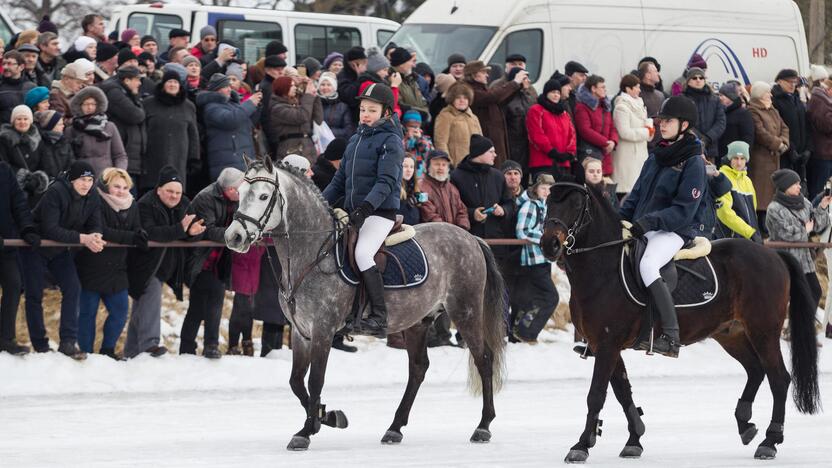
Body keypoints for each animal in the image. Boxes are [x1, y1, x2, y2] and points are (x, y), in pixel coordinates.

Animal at [223, 159, 508, 452]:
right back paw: (394, 428)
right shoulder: (302, 333)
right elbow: (296, 381)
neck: (313, 254)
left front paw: (307, 430)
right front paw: (327, 416)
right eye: (240, 193)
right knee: (418, 368)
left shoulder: (323, 331)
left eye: (263, 196)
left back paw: (483, 426)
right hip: (418, 321)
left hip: (466, 311)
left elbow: (315, 380)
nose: (233, 237)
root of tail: (471, 238)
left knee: (484, 360)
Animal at [540, 182, 820, 460]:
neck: (603, 270)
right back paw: (745, 424)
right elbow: (622, 391)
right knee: (755, 370)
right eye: (547, 203)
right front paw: (634, 438)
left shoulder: (609, 344)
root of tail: (773, 255)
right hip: (731, 334)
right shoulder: (604, 345)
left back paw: (770, 441)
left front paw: (580, 446)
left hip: (763, 331)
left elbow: (596, 394)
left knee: (779, 378)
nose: (549, 244)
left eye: (577, 204)